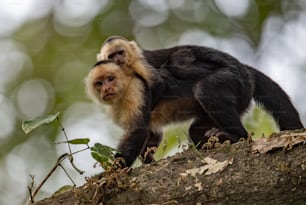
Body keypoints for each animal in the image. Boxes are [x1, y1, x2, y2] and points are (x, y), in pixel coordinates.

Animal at [85, 35, 302, 167]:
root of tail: (244, 71)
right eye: (99, 83)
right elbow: (151, 133)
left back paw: (237, 135)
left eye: (110, 79)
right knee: (195, 131)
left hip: (233, 82)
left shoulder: (136, 88)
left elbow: (139, 130)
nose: (106, 89)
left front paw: (112, 174)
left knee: (203, 88)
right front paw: (149, 162)